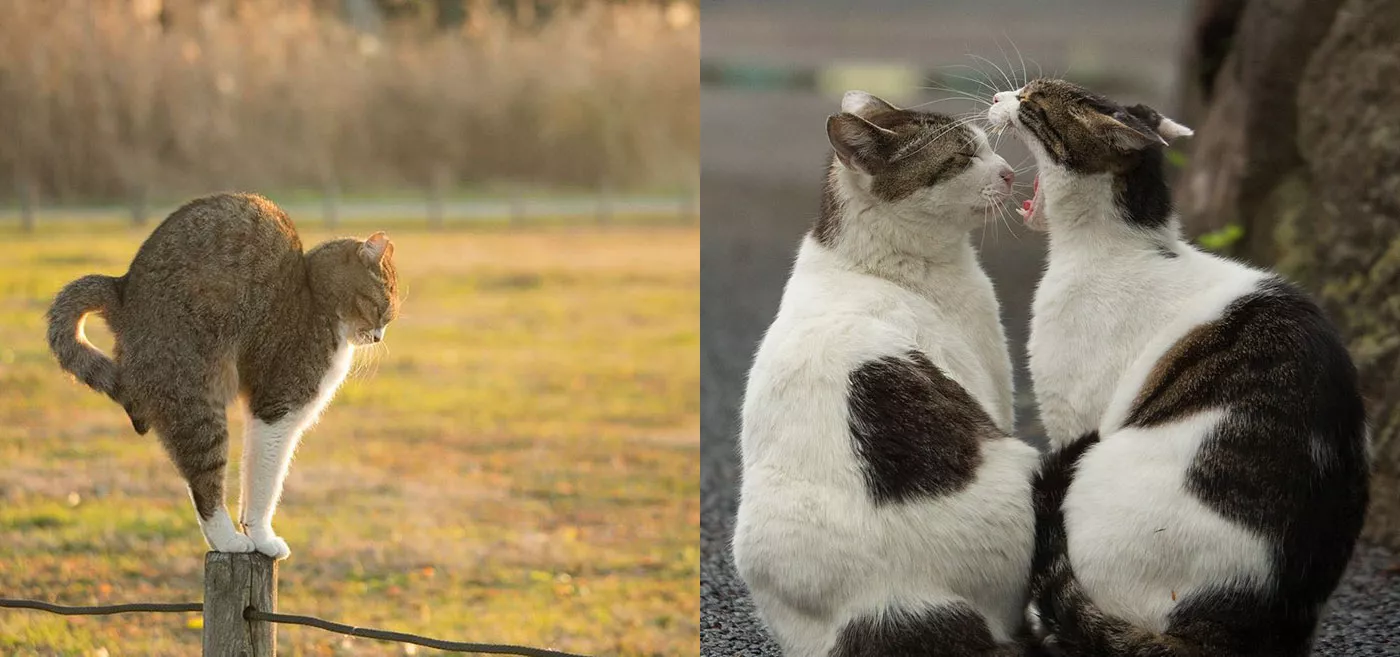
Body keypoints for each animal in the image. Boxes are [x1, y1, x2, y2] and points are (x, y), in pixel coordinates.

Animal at [733, 92, 1041, 655]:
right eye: (962, 158)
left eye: (986, 146)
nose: (1009, 173)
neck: (869, 262)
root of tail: (886, 606)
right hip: (1019, 461)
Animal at [985, 79, 1366, 652]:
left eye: (1032, 98)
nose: (998, 96)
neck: (1121, 246)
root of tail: (1228, 630)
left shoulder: (1073, 419)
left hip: (1097, 475)